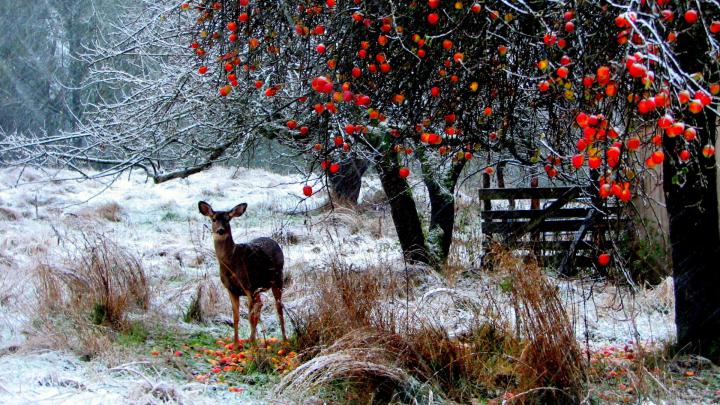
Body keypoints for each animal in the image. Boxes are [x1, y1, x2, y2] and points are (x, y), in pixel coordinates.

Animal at [198, 201, 286, 350]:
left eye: (227, 219)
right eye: (213, 219)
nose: (220, 230)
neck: (231, 263)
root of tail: (274, 242)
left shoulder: (247, 285)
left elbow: (250, 317)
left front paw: (252, 345)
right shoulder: (231, 289)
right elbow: (236, 317)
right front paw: (235, 344)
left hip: (277, 278)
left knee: (278, 307)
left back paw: (284, 340)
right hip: (259, 288)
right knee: (260, 304)